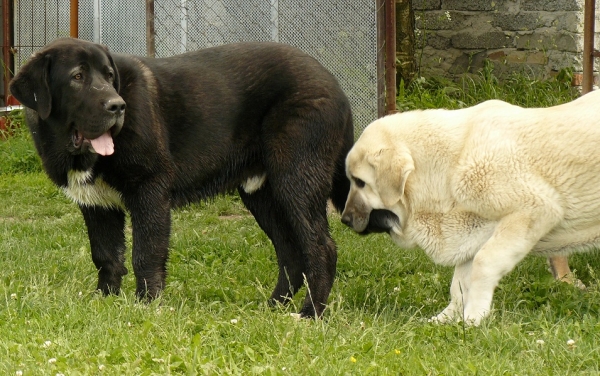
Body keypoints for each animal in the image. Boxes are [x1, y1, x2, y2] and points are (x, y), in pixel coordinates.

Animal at [9, 37, 354, 318]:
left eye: (109, 77)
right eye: (77, 77)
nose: (117, 106)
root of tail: (332, 81)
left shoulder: (149, 190)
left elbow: (145, 254)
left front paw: (146, 307)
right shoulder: (97, 205)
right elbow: (106, 257)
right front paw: (104, 302)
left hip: (295, 180)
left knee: (321, 248)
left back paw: (310, 314)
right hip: (261, 193)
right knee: (290, 254)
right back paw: (271, 309)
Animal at [340, 89, 600, 324]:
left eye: (360, 182)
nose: (344, 220)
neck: (449, 165)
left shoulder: (534, 210)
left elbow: (483, 263)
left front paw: (474, 318)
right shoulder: (472, 230)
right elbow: (459, 284)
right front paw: (447, 320)